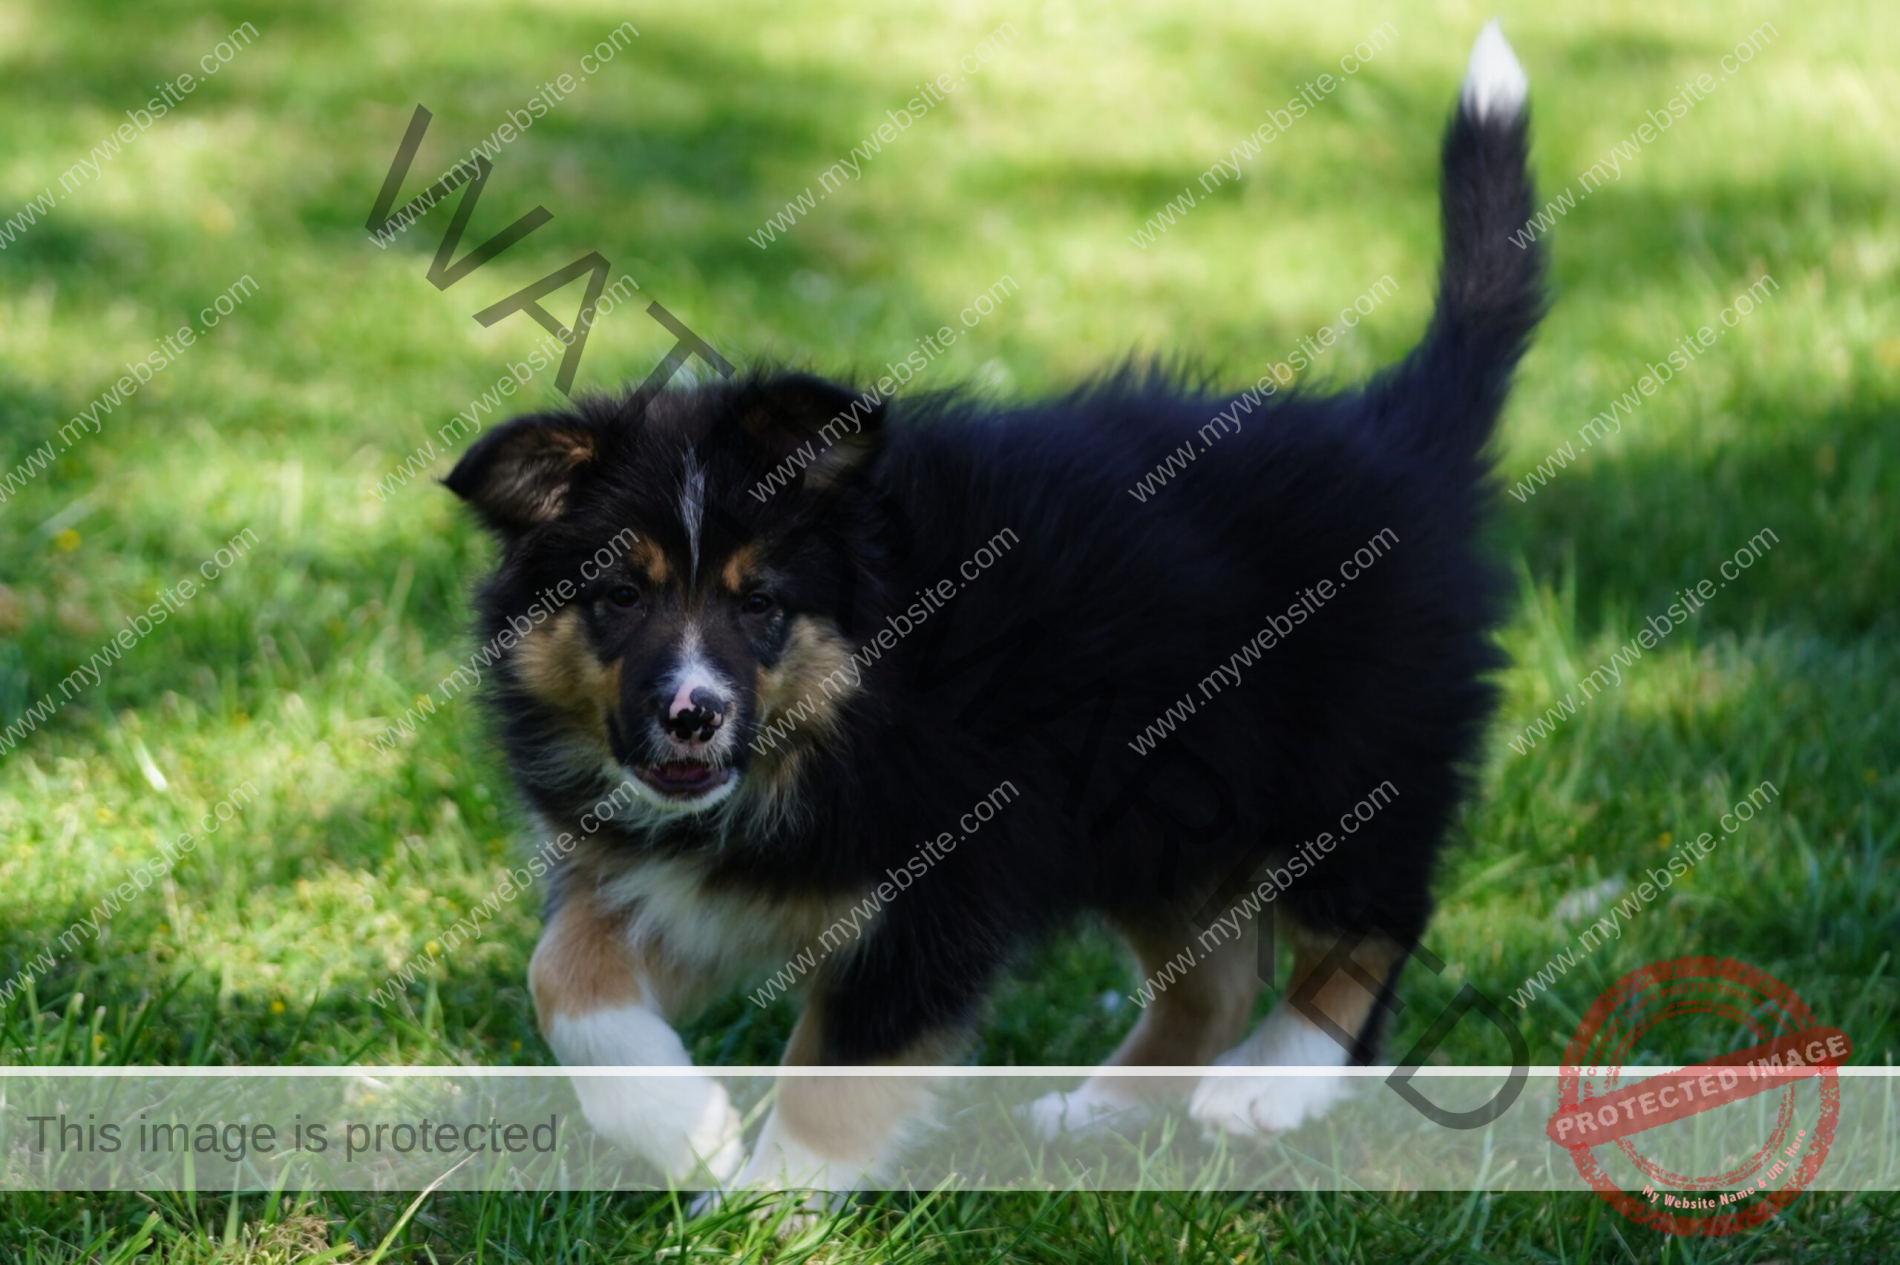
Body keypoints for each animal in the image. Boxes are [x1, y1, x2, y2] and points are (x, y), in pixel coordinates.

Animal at [444, 22, 1542, 1185]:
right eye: (617, 594)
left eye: (761, 603)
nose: (692, 715)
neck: (843, 708)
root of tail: (1397, 432)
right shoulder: (685, 881)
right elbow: (561, 973)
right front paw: (685, 1130)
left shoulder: (941, 882)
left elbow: (839, 1070)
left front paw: (770, 1199)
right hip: (1153, 818)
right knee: (1214, 978)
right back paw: (1100, 1113)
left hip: (1347, 760)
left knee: (1376, 917)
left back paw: (1269, 1081)